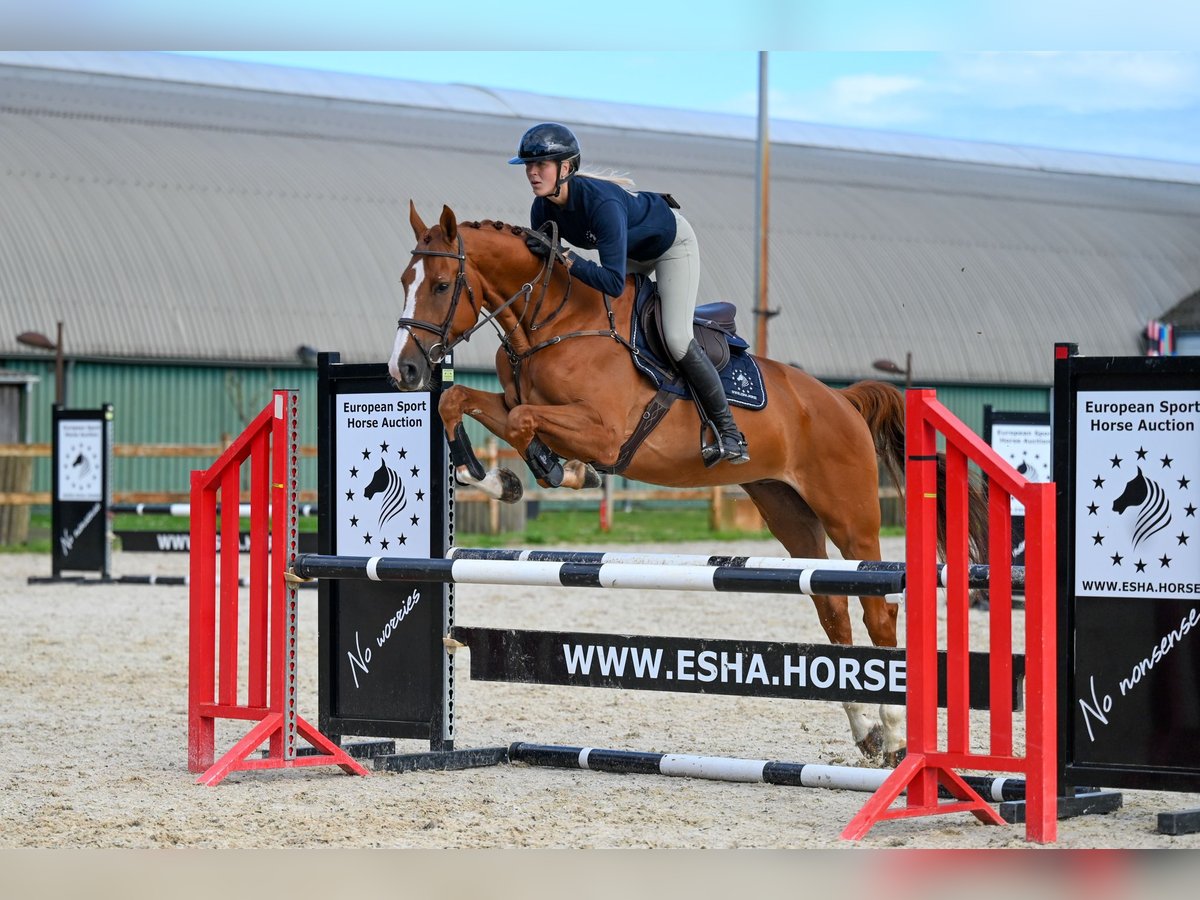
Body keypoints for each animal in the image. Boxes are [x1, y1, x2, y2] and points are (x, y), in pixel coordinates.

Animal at [386, 200, 984, 763]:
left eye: (441, 285)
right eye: (404, 280)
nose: (403, 370)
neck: (552, 321)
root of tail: (843, 400)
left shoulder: (604, 433)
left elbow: (521, 422)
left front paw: (556, 469)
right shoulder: (512, 399)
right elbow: (458, 401)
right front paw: (493, 479)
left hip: (850, 514)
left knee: (878, 609)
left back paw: (897, 735)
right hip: (788, 511)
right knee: (832, 607)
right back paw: (867, 733)